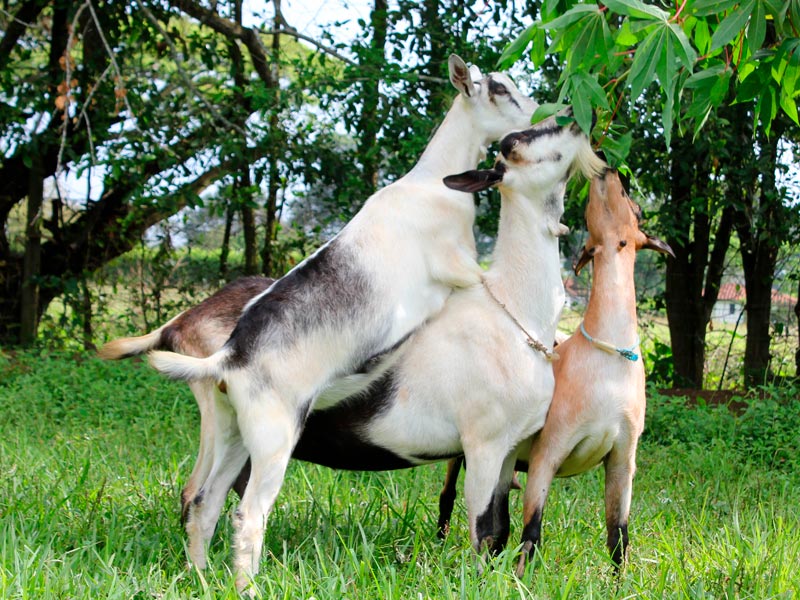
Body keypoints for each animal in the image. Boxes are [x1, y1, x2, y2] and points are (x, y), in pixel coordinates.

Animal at [148, 56, 536, 592]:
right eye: (499, 88)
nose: (540, 113)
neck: (433, 184)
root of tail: (230, 358)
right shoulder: (457, 268)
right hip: (273, 438)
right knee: (247, 515)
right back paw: (248, 587)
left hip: (231, 433)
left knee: (203, 501)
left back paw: (203, 578)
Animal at [512, 170, 676, 576]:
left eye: (634, 205)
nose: (610, 171)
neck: (608, 359)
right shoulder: (548, 451)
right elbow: (532, 531)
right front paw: (518, 581)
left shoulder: (622, 458)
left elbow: (618, 534)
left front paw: (620, 583)